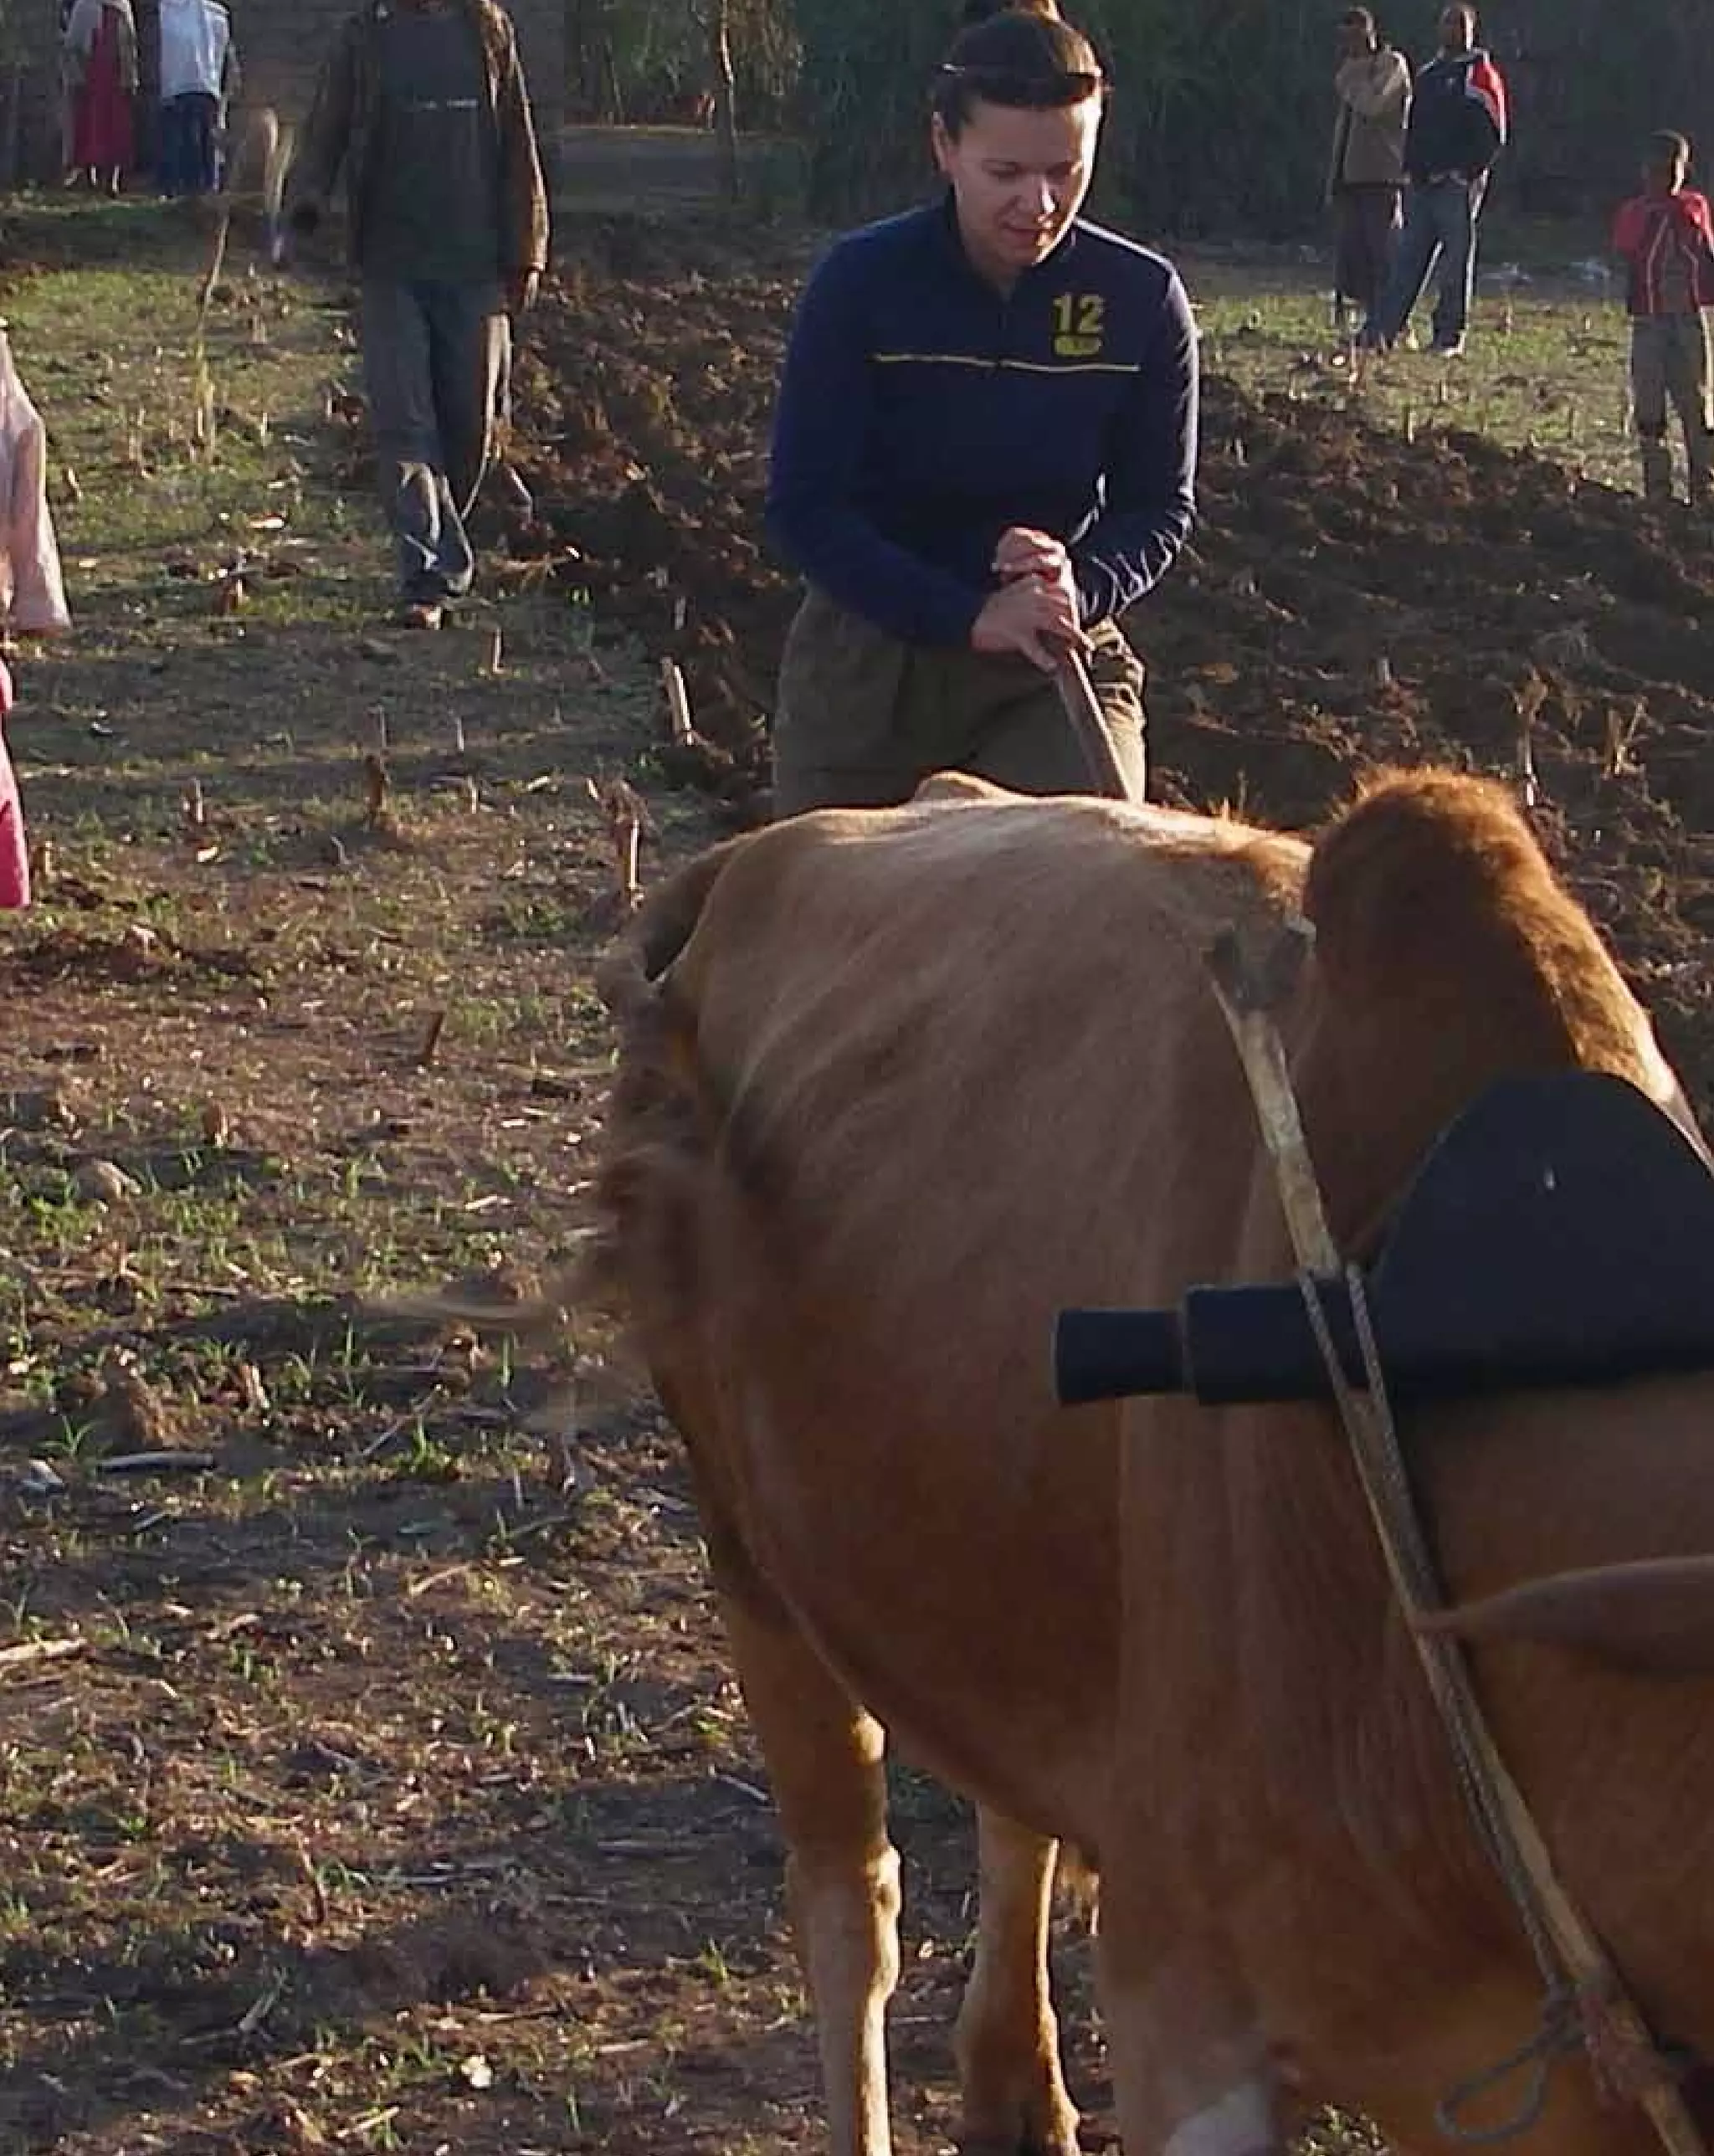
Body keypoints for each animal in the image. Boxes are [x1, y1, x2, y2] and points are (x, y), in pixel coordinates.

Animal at [565, 766, 1714, 2155]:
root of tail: (748, 859)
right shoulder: (1188, 2013)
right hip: (752, 1553)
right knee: (850, 1903)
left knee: (1012, 1800)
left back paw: (1014, 2082)